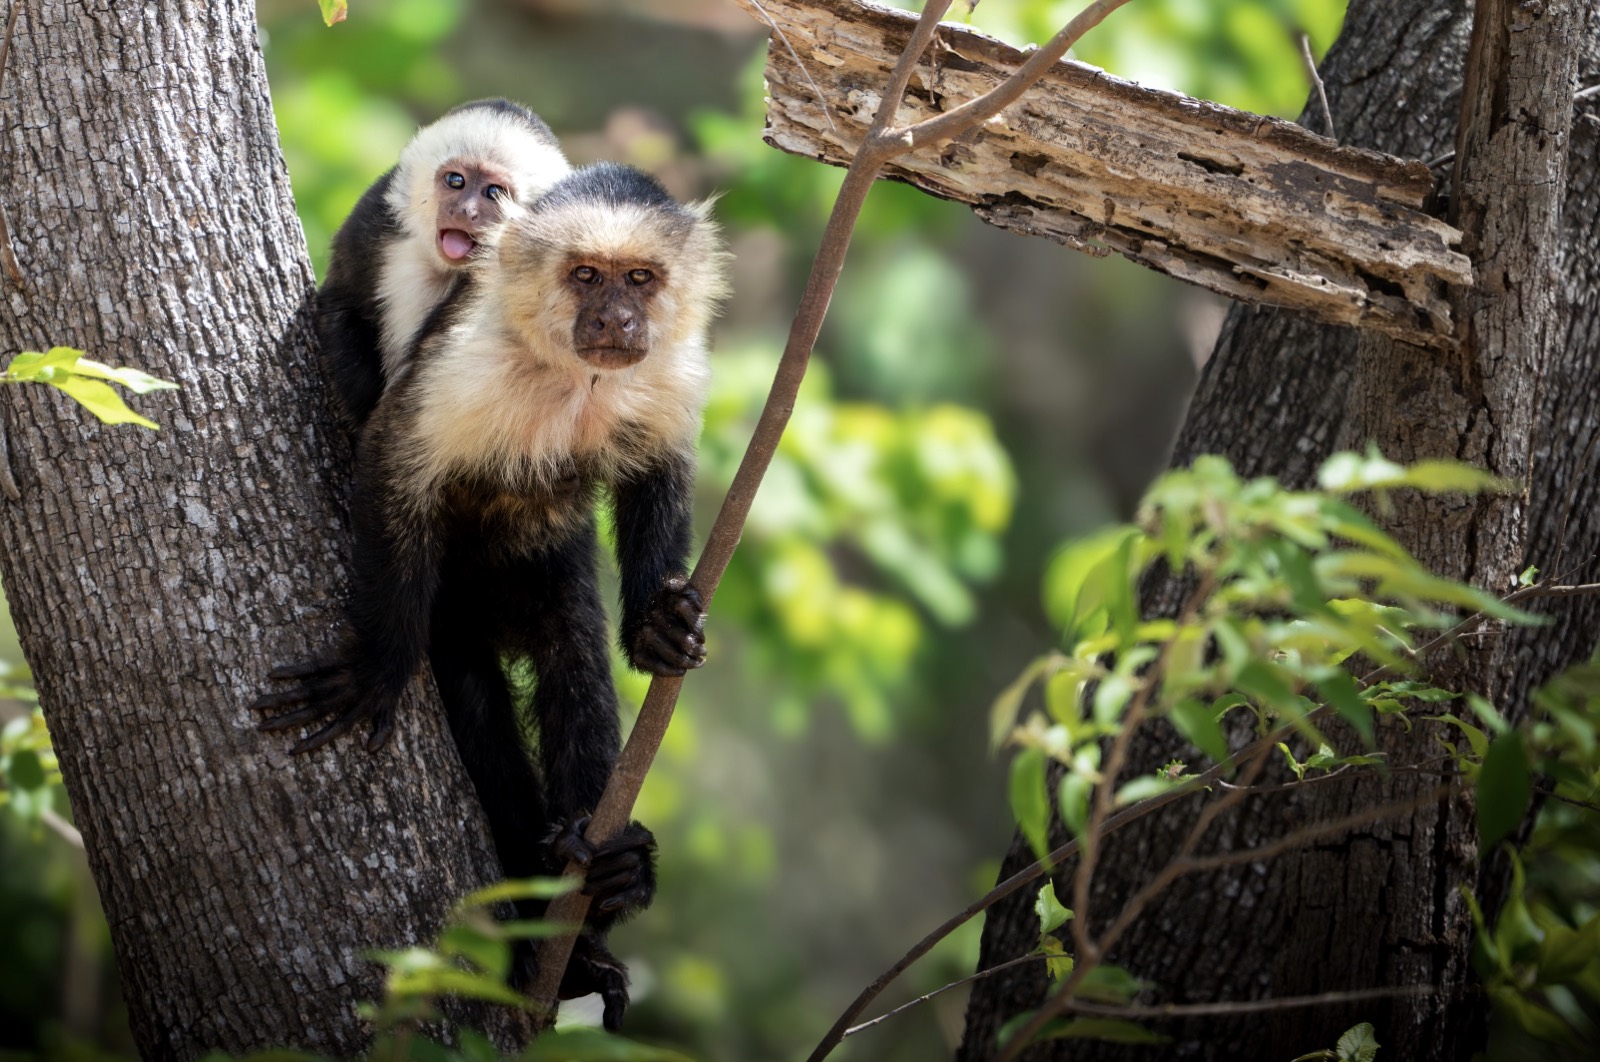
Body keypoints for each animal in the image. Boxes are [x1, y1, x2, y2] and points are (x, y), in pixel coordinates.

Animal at [256, 162, 730, 1029]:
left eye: (640, 280)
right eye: (586, 276)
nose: (616, 318)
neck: (576, 377)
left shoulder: (674, 367)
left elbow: (659, 472)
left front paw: (657, 623)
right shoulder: (463, 360)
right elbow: (391, 464)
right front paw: (380, 667)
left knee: (571, 657)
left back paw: (601, 884)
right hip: (452, 611)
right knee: (474, 697)